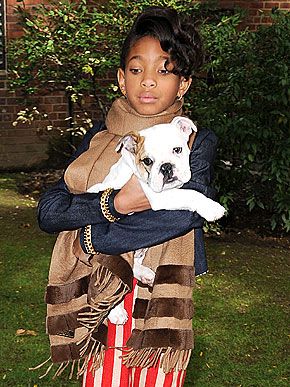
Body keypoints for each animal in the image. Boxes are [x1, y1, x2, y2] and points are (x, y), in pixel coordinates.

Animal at [87, 116, 225, 326]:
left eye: (177, 150)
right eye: (148, 161)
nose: (166, 167)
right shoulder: (157, 196)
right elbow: (190, 194)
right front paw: (212, 208)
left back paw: (145, 274)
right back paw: (115, 313)